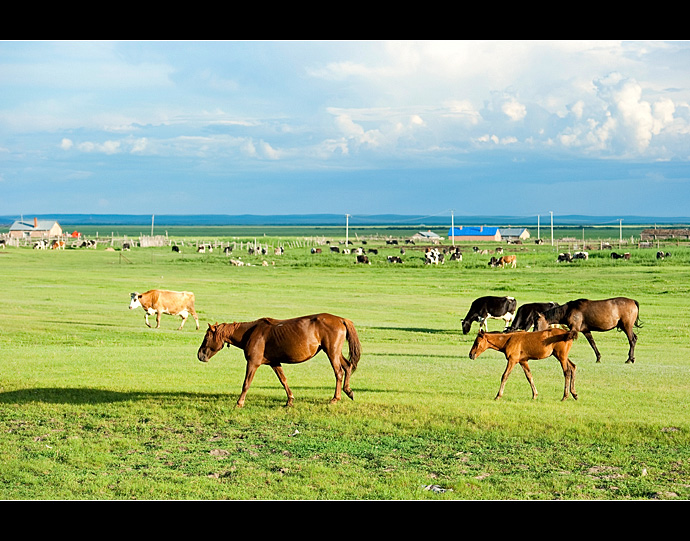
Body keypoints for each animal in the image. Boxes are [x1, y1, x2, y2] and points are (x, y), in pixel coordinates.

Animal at [195, 314, 360, 408]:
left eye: (206, 337)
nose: (200, 355)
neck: (251, 333)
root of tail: (341, 319)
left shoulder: (253, 363)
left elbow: (246, 383)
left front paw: (239, 402)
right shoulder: (274, 363)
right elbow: (283, 380)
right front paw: (290, 400)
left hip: (332, 352)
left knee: (339, 372)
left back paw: (335, 398)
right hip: (335, 352)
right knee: (348, 366)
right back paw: (348, 391)